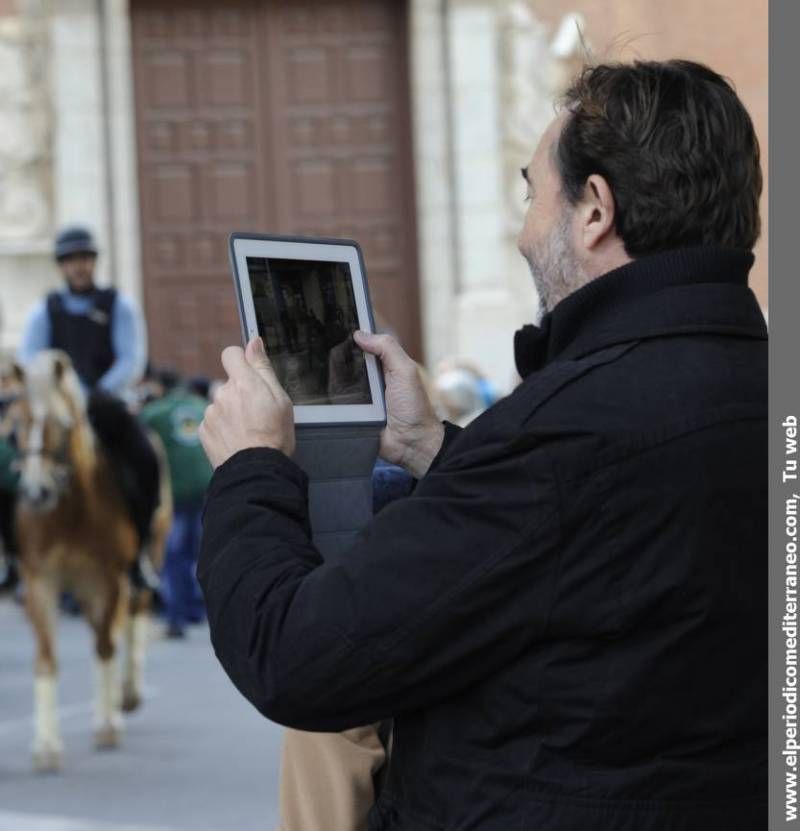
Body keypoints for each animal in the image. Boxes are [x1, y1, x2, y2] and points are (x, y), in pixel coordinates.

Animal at [5, 352, 170, 772]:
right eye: (17, 424)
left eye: (63, 424)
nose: (37, 491)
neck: (70, 512)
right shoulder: (40, 581)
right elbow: (46, 659)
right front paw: (46, 747)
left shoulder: (106, 578)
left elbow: (105, 645)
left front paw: (106, 725)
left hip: (148, 555)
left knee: (133, 613)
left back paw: (127, 694)